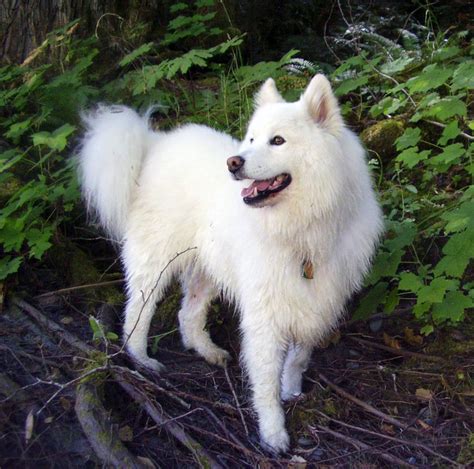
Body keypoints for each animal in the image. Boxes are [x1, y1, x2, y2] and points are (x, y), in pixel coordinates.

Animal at [77, 75, 382, 452]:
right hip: (156, 263)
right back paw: (141, 360)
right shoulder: (265, 315)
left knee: (187, 314)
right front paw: (273, 432)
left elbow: (298, 357)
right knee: (137, 312)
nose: (233, 163)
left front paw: (292, 390)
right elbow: (264, 380)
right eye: (251, 139)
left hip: (207, 267)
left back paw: (208, 352)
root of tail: (155, 143)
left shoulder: (317, 300)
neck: (302, 228)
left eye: (277, 140)